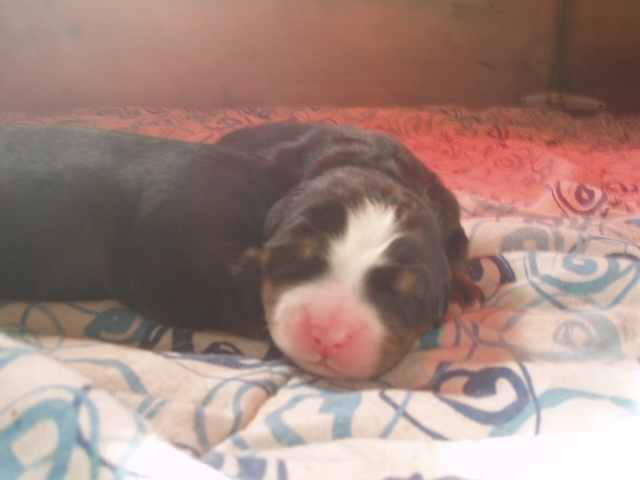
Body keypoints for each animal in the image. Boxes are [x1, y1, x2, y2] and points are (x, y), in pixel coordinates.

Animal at [0, 123, 483, 380]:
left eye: (406, 294)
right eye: (291, 257)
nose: (327, 333)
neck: (373, 170)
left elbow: (457, 253)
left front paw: (462, 287)